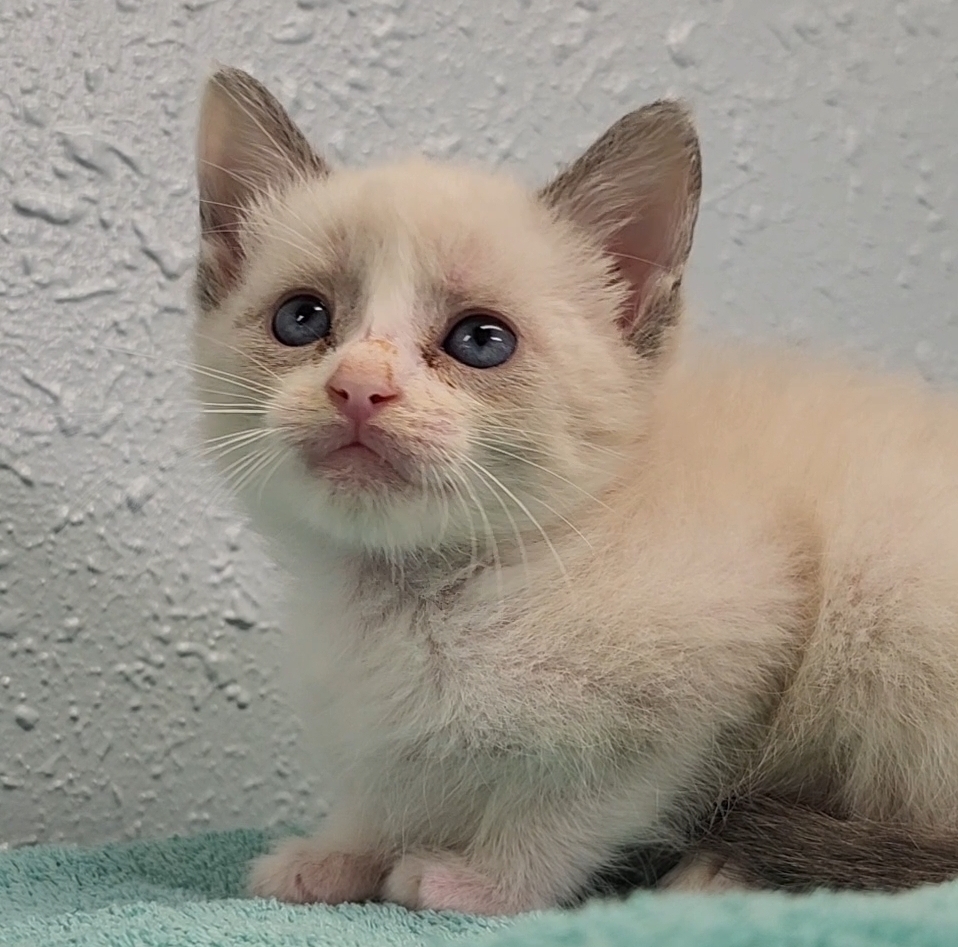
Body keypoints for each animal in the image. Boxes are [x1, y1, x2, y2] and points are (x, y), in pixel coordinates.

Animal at [191, 70, 958, 916]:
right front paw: (339, 853)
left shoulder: (713, 666)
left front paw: (481, 880)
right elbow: (387, 787)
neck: (419, 594)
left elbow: (568, 807)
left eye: (480, 341)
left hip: (892, 588)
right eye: (302, 318)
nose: (359, 387)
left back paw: (721, 872)